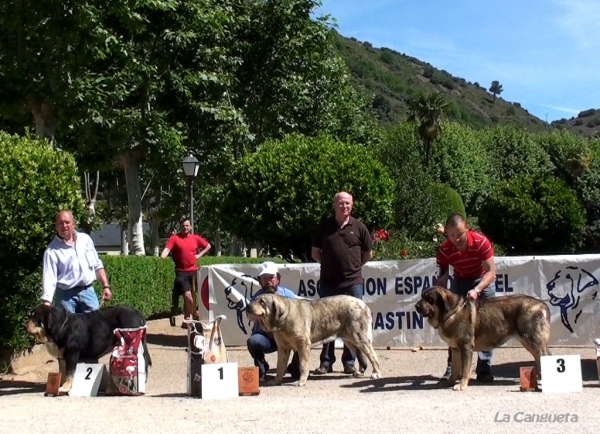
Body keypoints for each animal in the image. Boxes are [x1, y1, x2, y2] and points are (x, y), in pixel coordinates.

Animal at [246, 294, 382, 384]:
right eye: (255, 299)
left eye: (262, 301)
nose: (247, 305)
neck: (283, 319)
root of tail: (364, 304)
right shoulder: (283, 348)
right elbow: (280, 366)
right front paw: (276, 381)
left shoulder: (303, 345)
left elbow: (303, 365)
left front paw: (301, 381)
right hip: (350, 340)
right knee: (361, 355)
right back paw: (359, 372)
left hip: (360, 338)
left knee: (373, 356)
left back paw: (376, 373)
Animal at [414, 286, 552, 392]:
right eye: (422, 297)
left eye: (429, 299)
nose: (416, 306)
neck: (450, 313)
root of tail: (542, 304)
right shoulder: (455, 349)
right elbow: (455, 369)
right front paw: (449, 382)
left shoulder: (465, 347)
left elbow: (465, 369)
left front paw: (462, 385)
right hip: (529, 343)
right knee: (539, 358)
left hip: (532, 340)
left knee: (543, 356)